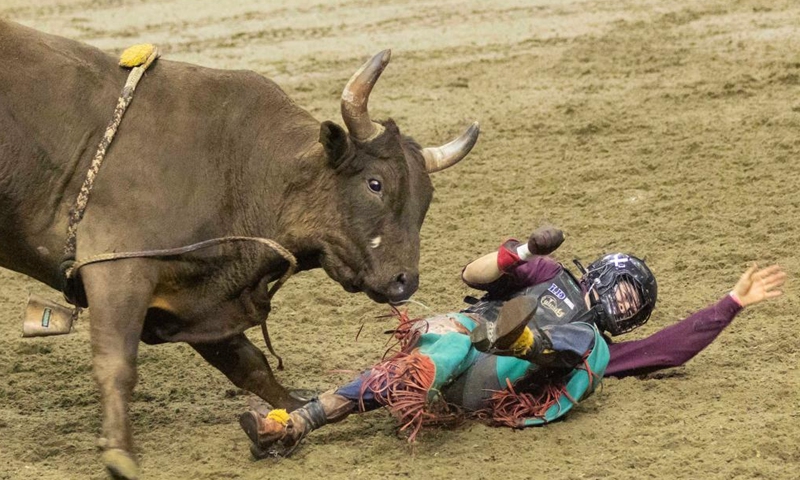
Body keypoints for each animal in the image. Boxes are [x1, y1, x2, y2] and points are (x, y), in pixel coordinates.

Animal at [0, 20, 478, 478]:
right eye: (375, 184)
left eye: (426, 200)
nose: (404, 281)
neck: (239, 166)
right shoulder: (118, 268)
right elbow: (116, 361)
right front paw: (119, 452)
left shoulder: (198, 301)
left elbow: (250, 363)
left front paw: (293, 414)